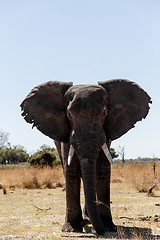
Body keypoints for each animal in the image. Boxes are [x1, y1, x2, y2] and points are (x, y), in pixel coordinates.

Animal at [20, 79, 151, 236]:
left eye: (104, 113)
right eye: (69, 115)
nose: (98, 232)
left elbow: (102, 170)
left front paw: (108, 228)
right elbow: (71, 172)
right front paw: (71, 229)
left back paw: (89, 220)